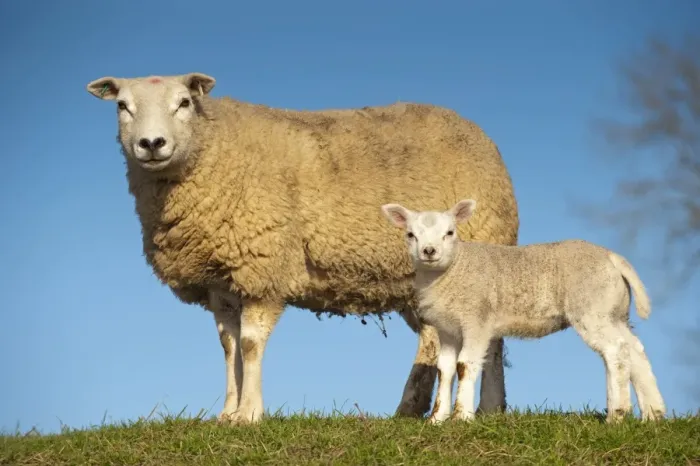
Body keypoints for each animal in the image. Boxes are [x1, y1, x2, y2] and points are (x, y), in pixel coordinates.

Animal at [84, 72, 520, 424]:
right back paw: (442, 409)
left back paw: (468, 408)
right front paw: (227, 414)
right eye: (122, 105)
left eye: (184, 103)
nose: (151, 143)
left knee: (476, 338)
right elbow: (229, 346)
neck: (214, 149)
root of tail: (480, 136)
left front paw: (250, 414)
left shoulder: (263, 266)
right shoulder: (221, 280)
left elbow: (250, 344)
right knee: (452, 337)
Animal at [381, 198, 666, 424]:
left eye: (450, 233)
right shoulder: (447, 328)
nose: (429, 251)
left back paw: (617, 415)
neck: (453, 269)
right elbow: (446, 369)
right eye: (410, 235)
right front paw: (437, 419)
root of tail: (612, 258)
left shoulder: (477, 321)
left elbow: (465, 365)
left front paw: (461, 417)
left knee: (615, 352)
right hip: (613, 311)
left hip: (591, 308)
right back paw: (653, 414)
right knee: (634, 349)